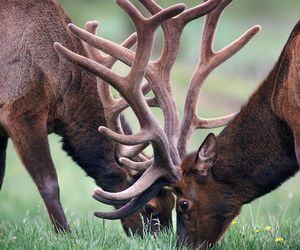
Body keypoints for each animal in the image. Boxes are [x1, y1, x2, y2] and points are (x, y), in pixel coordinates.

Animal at [0, 0, 177, 234]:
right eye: (150, 207)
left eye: (173, 202)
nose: (163, 238)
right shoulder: (20, 109)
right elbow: (48, 182)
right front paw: (64, 233)